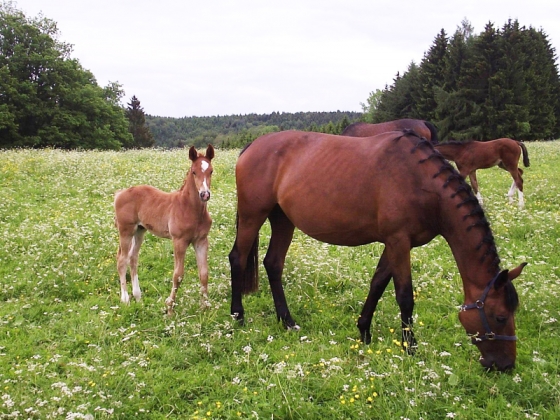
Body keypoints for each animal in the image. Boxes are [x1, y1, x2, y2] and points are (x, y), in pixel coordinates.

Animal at [114, 144, 214, 312]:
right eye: (194, 171)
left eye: (211, 171)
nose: (204, 194)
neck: (189, 208)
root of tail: (120, 193)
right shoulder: (179, 241)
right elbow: (178, 275)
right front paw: (170, 307)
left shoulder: (201, 241)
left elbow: (204, 274)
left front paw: (205, 307)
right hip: (126, 230)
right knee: (122, 260)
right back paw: (125, 299)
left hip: (140, 230)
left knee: (133, 258)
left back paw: (138, 297)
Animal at [230, 130, 528, 370]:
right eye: (500, 316)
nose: (505, 365)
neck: (422, 183)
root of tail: (252, 146)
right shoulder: (399, 241)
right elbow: (404, 296)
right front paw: (410, 347)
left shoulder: (395, 243)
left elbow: (377, 284)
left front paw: (364, 331)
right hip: (252, 216)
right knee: (238, 258)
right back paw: (238, 316)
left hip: (283, 219)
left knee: (273, 264)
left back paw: (287, 321)